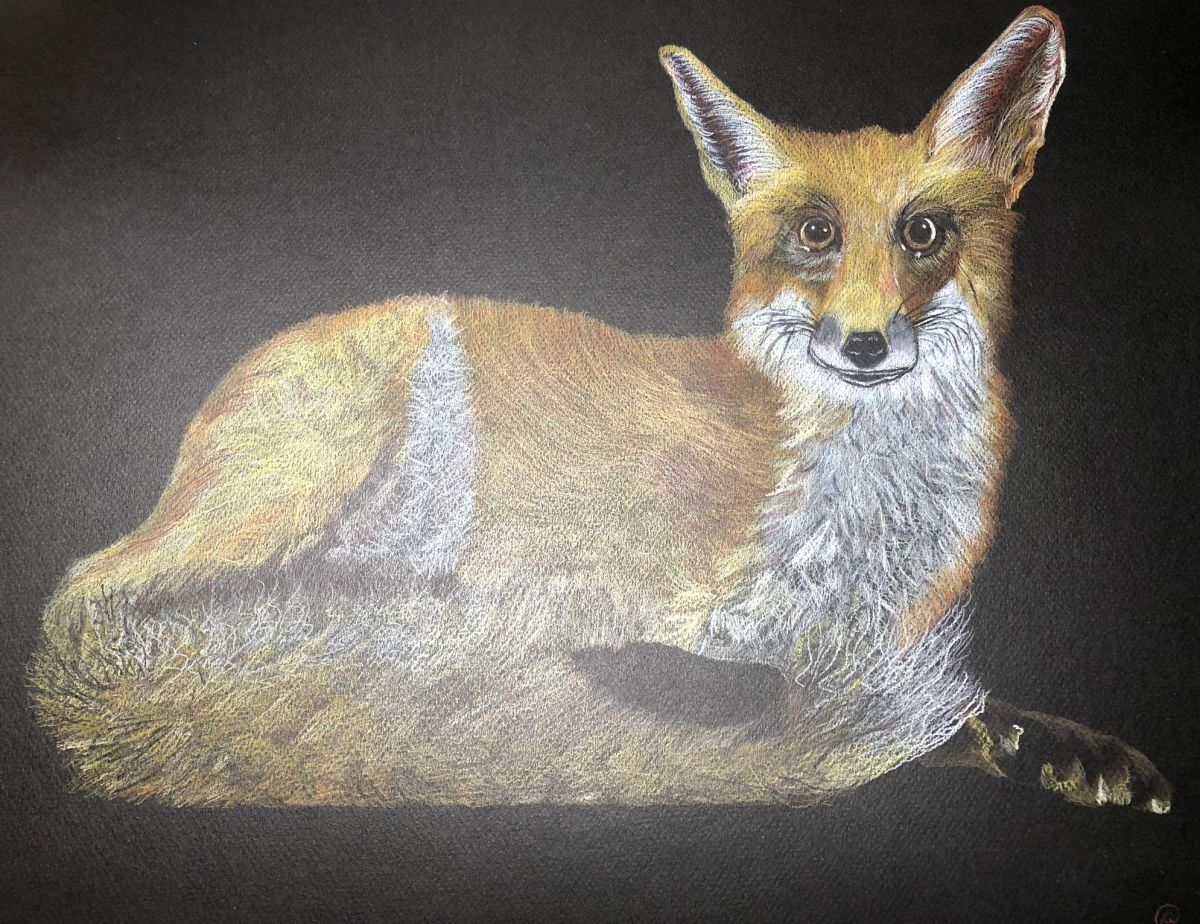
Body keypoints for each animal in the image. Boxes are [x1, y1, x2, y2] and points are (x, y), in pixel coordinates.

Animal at [35, 7, 1172, 810]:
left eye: (924, 233)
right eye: (813, 235)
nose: (863, 344)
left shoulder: (875, 649)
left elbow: (953, 715)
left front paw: (1065, 750)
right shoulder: (618, 585)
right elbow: (757, 689)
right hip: (318, 484)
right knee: (119, 600)